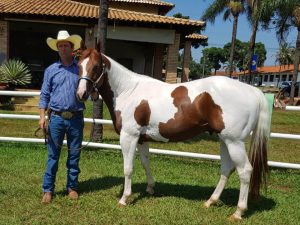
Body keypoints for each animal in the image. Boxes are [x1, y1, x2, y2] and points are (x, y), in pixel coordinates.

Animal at [76, 44, 270, 221]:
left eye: (96, 66)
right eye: (78, 65)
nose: (81, 94)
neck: (128, 91)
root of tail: (253, 90)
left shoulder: (129, 137)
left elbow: (128, 168)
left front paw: (124, 198)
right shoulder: (142, 139)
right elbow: (146, 163)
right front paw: (150, 188)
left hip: (234, 142)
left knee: (244, 171)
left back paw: (238, 212)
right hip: (224, 140)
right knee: (226, 169)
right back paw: (211, 201)